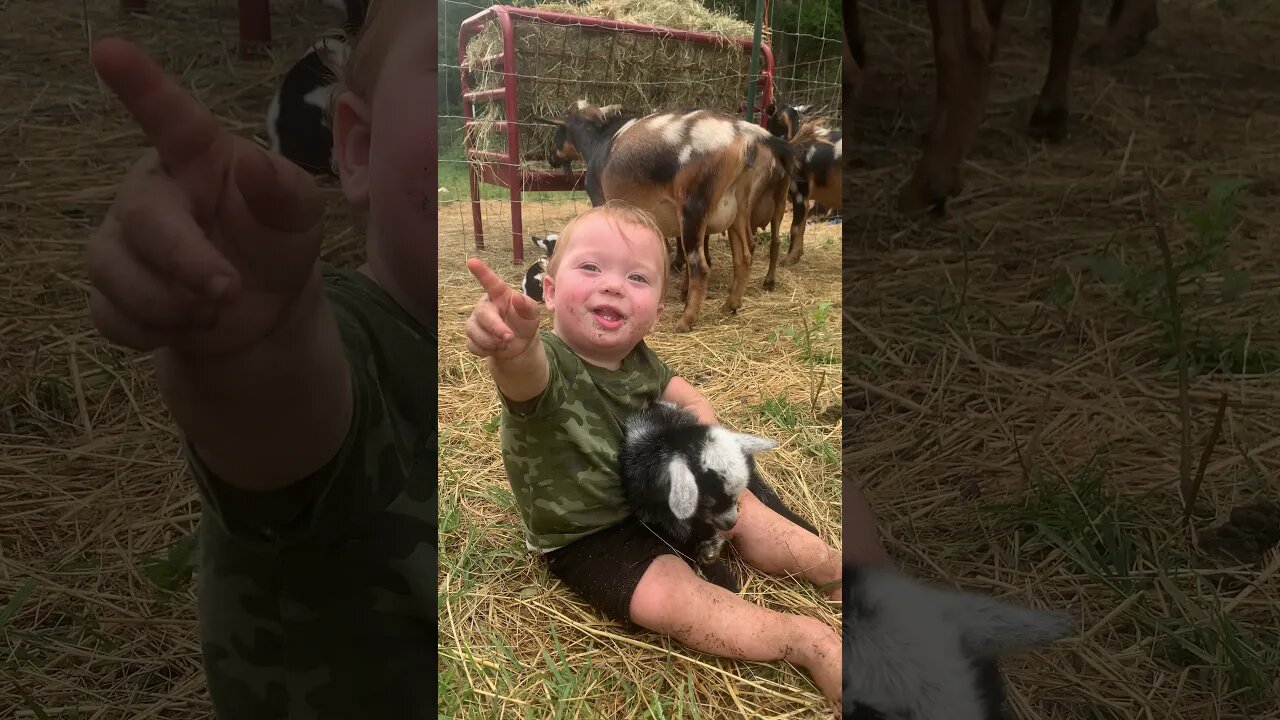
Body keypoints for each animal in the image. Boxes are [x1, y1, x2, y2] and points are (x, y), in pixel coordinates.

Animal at [547, 103, 793, 330]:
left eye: (558, 132)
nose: (551, 158)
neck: (598, 141)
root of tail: (742, 132)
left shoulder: (602, 200)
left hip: (693, 208)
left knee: (700, 266)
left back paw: (686, 320)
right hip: (739, 208)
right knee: (743, 256)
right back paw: (730, 305)